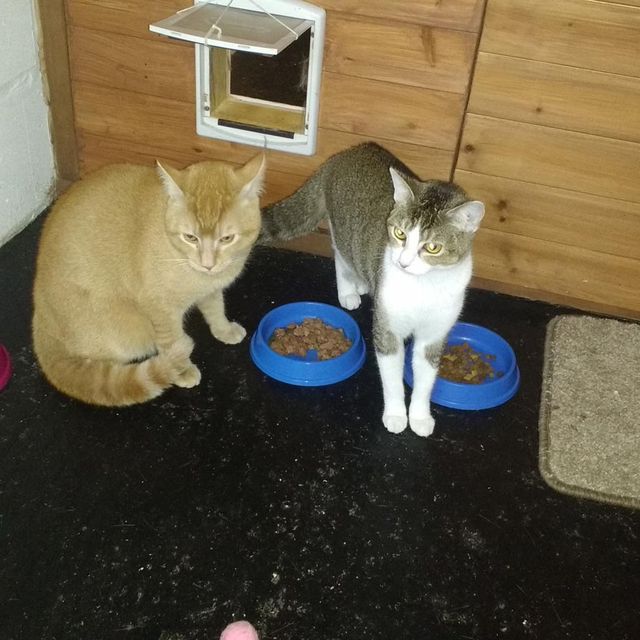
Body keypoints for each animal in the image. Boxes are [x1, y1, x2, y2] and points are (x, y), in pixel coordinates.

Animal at [32, 154, 264, 404]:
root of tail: (41, 319)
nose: (208, 263)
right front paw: (182, 369)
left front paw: (224, 330)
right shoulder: (161, 309)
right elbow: (171, 339)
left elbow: (215, 309)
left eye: (227, 238)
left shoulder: (210, 291)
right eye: (191, 237)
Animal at [258, 142, 482, 438]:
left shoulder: (434, 334)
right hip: (344, 232)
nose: (403, 262)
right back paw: (348, 291)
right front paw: (396, 414)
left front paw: (420, 417)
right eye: (400, 234)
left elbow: (425, 379)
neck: (423, 286)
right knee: (341, 257)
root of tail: (343, 154)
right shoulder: (388, 327)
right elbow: (392, 377)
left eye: (433, 248)